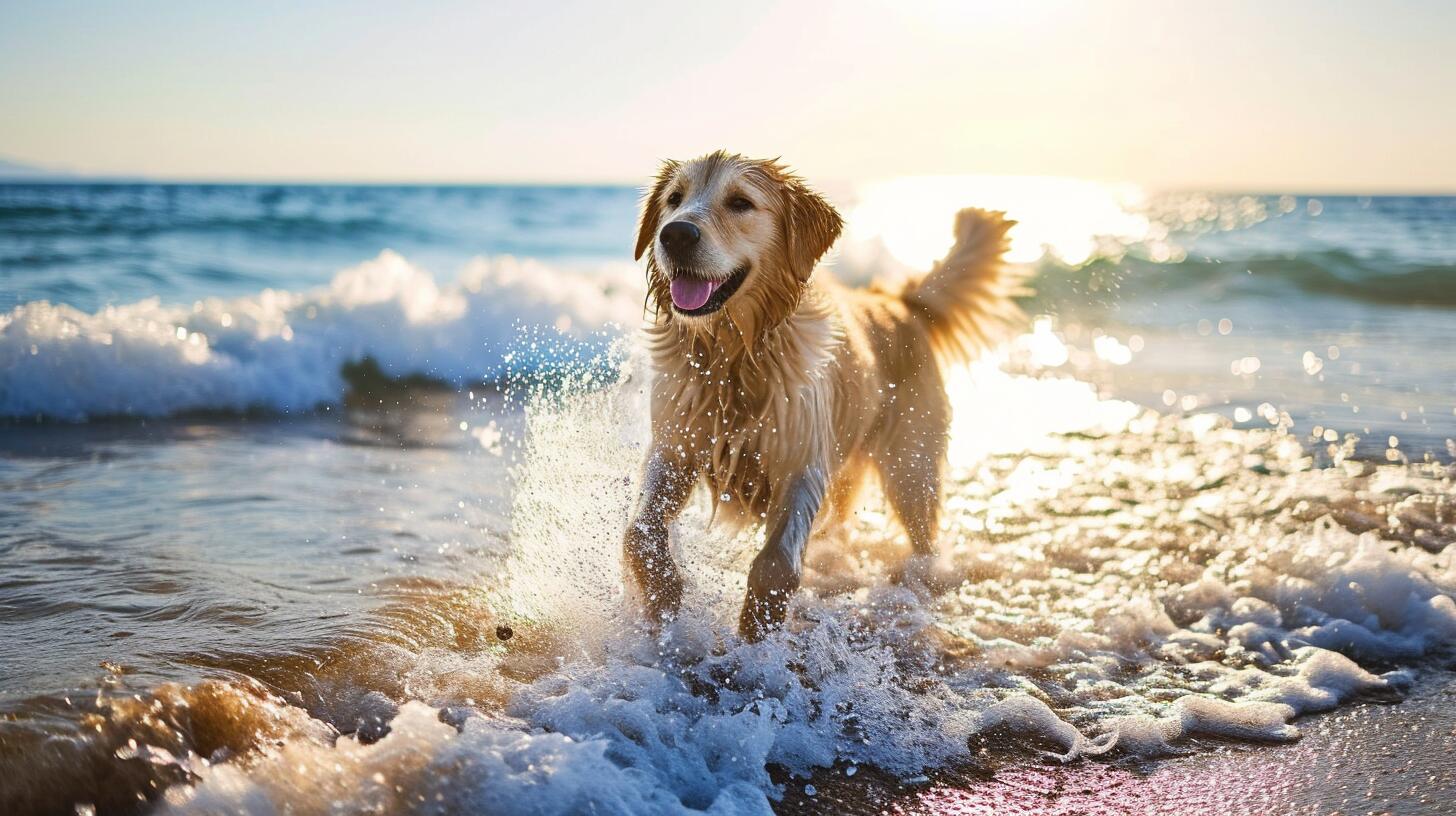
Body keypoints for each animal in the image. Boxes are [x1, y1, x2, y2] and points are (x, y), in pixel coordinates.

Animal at [626, 151, 1025, 638]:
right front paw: (663, 599)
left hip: (912, 468)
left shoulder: (803, 460)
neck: (736, 355)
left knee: (922, 535)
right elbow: (641, 529)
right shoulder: (675, 445)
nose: (676, 234)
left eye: (740, 202)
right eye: (674, 199)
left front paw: (755, 640)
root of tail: (901, 302)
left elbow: (776, 563)